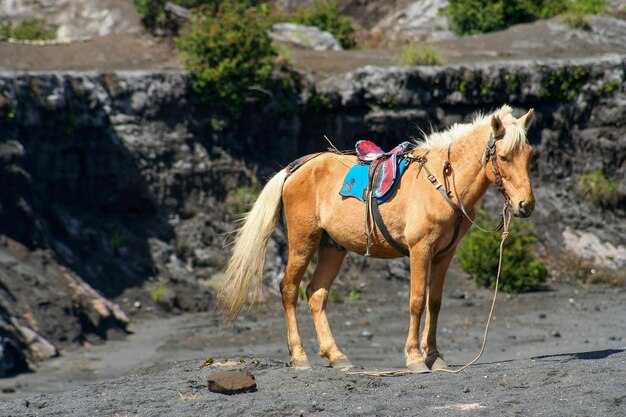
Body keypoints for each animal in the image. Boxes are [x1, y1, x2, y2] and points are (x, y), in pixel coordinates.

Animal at [217, 105, 532, 372]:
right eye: (504, 157)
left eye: (529, 155)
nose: (525, 206)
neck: (444, 183)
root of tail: (296, 168)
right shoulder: (420, 250)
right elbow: (417, 301)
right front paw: (415, 358)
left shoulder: (445, 254)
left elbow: (435, 303)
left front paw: (435, 357)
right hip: (303, 241)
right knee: (289, 290)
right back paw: (299, 357)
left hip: (333, 247)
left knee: (316, 294)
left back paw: (336, 356)